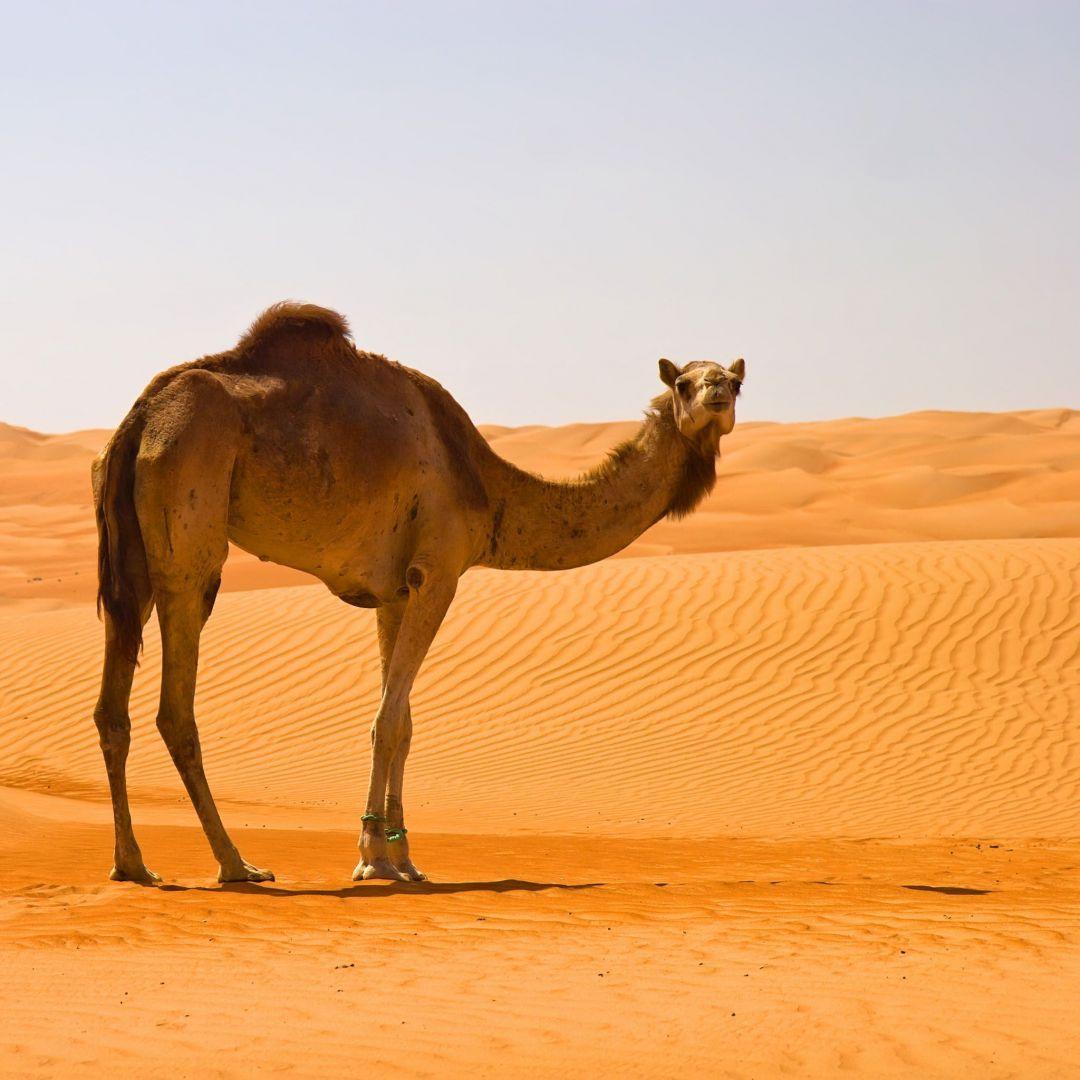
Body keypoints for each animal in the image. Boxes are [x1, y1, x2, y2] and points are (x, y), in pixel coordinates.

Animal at [93, 302, 745, 885]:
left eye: (736, 381)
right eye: (684, 382)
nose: (717, 393)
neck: (488, 488)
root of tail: (140, 417)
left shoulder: (393, 593)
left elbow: (402, 722)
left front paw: (400, 856)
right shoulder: (439, 572)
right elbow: (387, 719)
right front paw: (371, 859)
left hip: (131, 554)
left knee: (112, 706)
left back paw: (133, 864)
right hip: (190, 523)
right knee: (176, 706)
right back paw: (236, 864)